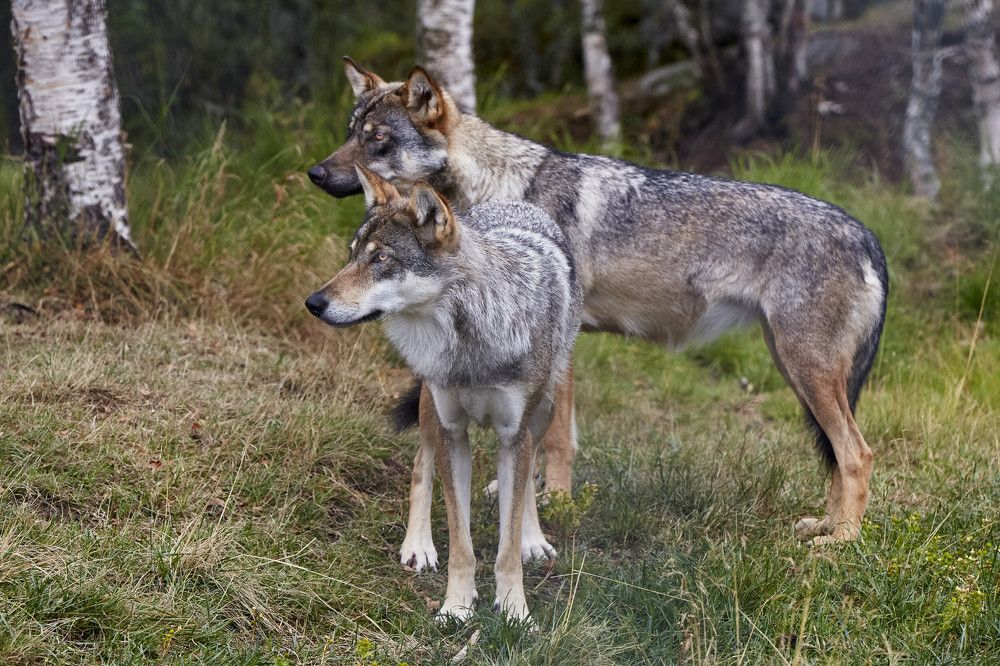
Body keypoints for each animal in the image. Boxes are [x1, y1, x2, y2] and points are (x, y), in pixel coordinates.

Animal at [305, 165, 581, 622]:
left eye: (381, 259)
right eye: (352, 255)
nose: (313, 302)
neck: (473, 336)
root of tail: (513, 204)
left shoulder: (514, 435)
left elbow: (506, 546)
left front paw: (515, 611)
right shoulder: (453, 432)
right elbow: (460, 540)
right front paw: (457, 606)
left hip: (544, 411)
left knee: (526, 482)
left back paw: (532, 539)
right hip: (431, 409)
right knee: (421, 464)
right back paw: (418, 545)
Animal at [308, 58, 888, 552]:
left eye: (377, 139)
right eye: (349, 132)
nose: (315, 172)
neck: (501, 191)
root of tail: (867, 235)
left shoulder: (560, 345)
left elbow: (556, 439)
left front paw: (553, 501)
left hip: (805, 369)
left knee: (858, 454)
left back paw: (842, 544)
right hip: (797, 370)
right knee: (840, 456)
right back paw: (824, 526)